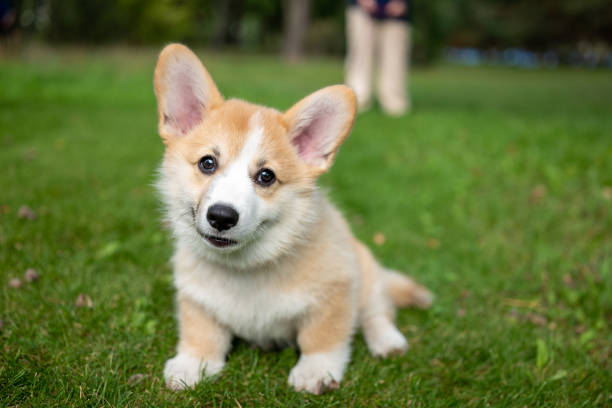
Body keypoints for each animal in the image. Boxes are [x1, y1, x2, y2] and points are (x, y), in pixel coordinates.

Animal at [152, 44, 430, 396]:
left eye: (266, 176)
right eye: (207, 163)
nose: (221, 216)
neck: (246, 268)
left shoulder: (336, 292)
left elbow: (322, 337)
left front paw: (316, 372)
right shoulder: (196, 299)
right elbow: (201, 333)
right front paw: (193, 364)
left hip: (365, 273)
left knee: (377, 310)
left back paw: (387, 341)